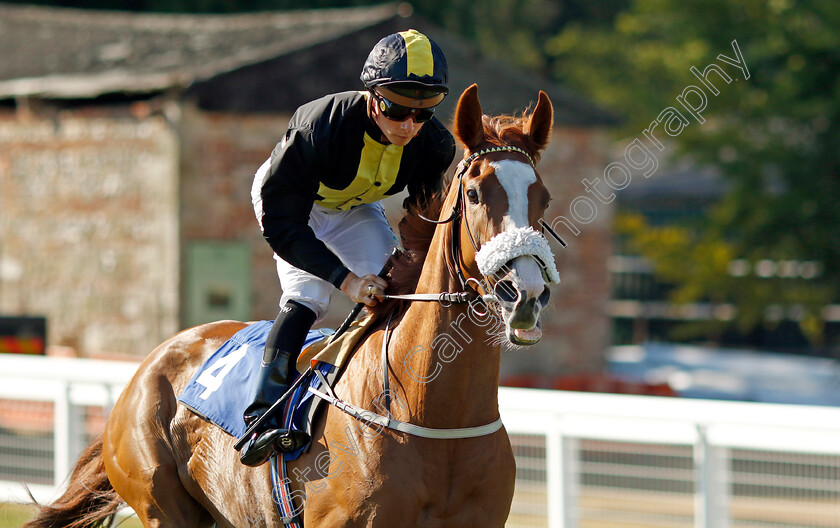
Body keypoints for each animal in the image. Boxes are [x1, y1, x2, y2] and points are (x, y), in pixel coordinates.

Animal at [23, 83, 556, 528]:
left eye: (544, 198)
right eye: (474, 193)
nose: (525, 293)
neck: (434, 413)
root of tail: (150, 362)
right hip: (164, 507)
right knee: (301, 298)